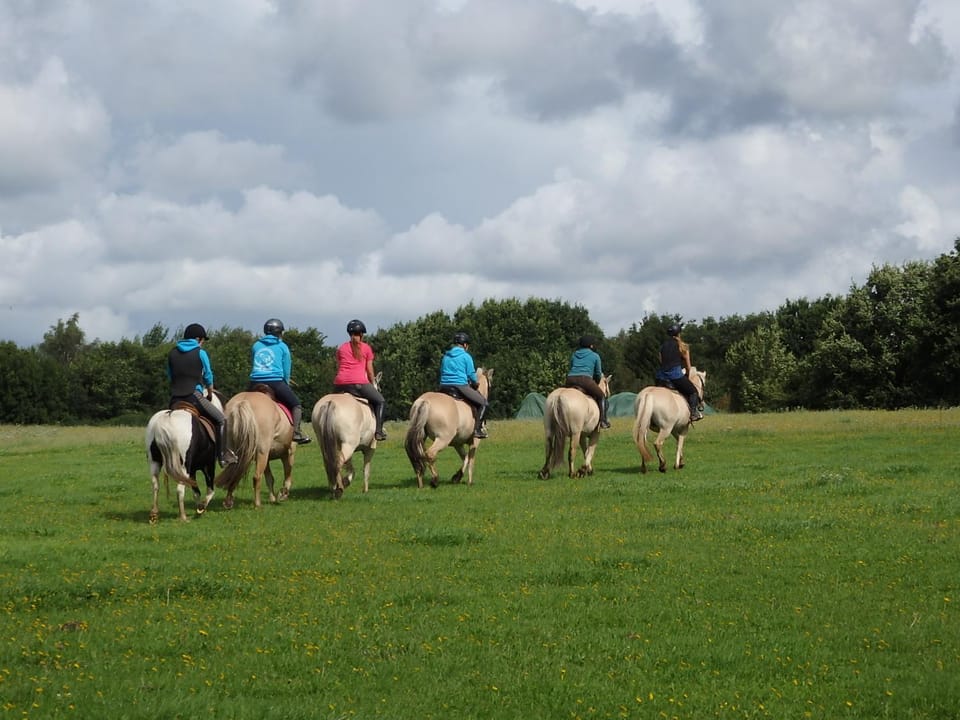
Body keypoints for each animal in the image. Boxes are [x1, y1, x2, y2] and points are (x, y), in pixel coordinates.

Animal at [145, 390, 227, 524]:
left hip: (154, 462)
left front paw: (199, 508)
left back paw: (154, 514)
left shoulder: (192, 469)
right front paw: (201, 508)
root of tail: (168, 417)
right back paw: (183, 516)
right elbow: (210, 490)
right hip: (183, 467)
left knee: (155, 485)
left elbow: (196, 491)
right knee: (180, 488)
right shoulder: (208, 466)